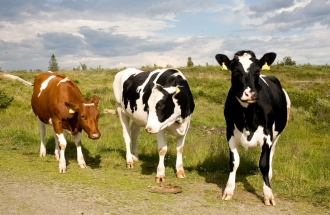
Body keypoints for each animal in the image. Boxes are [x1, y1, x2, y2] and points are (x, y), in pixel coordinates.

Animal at [215, 50, 290, 207]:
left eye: (257, 71)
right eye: (236, 71)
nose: (251, 94)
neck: (247, 117)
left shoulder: (267, 135)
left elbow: (264, 164)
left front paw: (268, 194)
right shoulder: (230, 132)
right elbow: (234, 162)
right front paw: (228, 190)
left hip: (277, 134)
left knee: (271, 153)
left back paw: (270, 176)